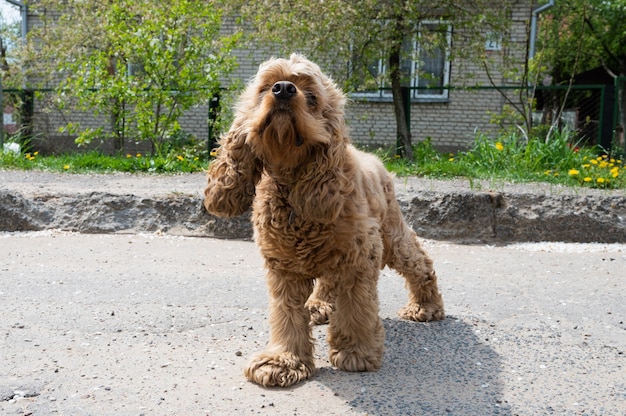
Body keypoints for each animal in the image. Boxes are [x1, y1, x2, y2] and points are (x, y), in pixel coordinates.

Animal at [202, 54, 442, 386]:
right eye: (265, 89)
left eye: (312, 96)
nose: (283, 89)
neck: (294, 187)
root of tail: (375, 159)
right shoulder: (283, 266)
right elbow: (286, 313)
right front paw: (283, 360)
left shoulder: (361, 256)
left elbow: (356, 306)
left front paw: (356, 352)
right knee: (329, 280)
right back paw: (319, 305)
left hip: (392, 235)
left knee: (420, 262)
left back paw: (426, 306)